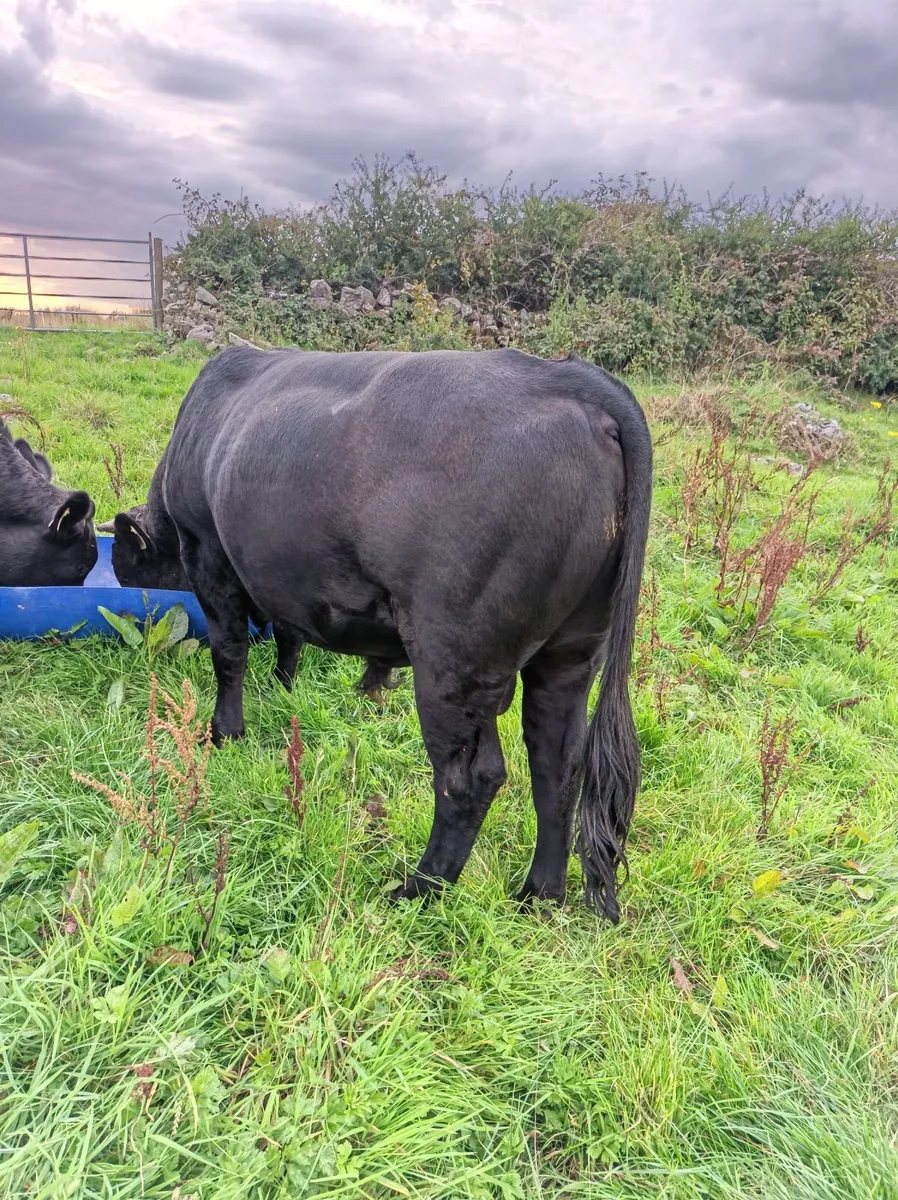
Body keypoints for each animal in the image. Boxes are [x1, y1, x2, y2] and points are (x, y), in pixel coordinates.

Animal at [107, 347, 652, 921]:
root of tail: (569, 377)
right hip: (572, 652)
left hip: (452, 661)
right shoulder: (283, 578)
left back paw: (419, 887)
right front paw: (282, 689)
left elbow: (228, 652)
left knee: (469, 778)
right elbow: (289, 638)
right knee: (557, 762)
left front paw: (225, 732)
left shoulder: (209, 554)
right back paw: (538, 894)